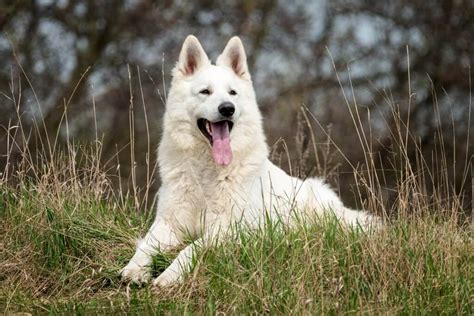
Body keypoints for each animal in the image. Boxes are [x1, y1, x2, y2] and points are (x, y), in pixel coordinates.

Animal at [121, 34, 378, 286]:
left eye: (232, 93)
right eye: (205, 92)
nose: (227, 108)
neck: (207, 174)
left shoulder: (228, 229)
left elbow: (191, 248)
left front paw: (170, 275)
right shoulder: (168, 222)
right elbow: (146, 246)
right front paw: (134, 270)